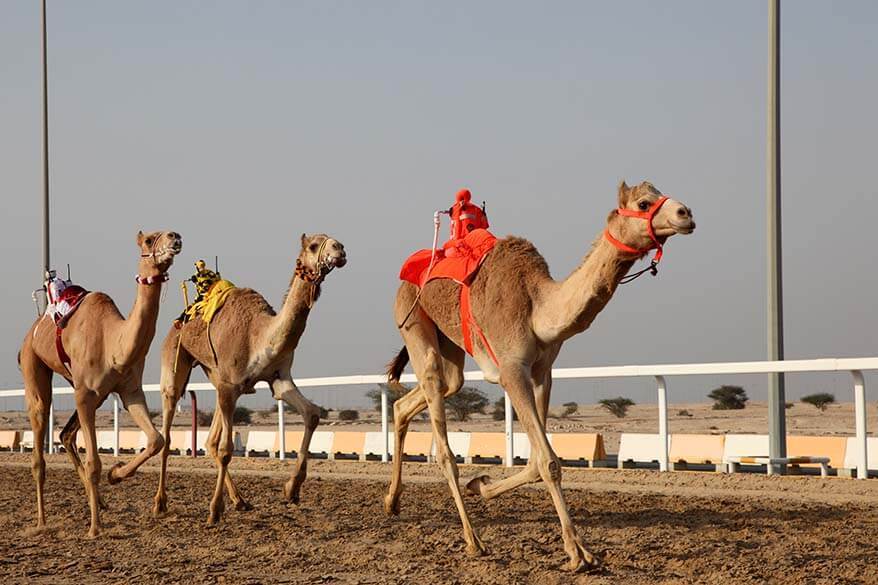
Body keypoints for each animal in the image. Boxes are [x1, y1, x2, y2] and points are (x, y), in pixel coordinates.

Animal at [18, 227, 182, 532]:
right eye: (148, 240)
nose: (175, 237)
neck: (113, 343)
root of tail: (33, 329)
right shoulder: (85, 394)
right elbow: (94, 462)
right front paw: (94, 529)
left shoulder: (130, 390)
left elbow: (156, 440)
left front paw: (116, 475)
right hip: (34, 366)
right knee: (40, 440)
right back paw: (42, 520)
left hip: (91, 390)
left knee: (66, 434)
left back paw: (101, 503)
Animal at [151, 230, 348, 524]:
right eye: (314, 246)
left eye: (334, 241)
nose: (340, 249)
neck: (260, 334)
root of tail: (180, 320)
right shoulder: (230, 384)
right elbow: (226, 450)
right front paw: (214, 511)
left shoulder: (278, 378)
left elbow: (312, 413)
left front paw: (292, 489)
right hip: (176, 359)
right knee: (170, 426)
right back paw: (160, 503)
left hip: (216, 377)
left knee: (210, 441)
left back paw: (240, 501)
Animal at [388, 181, 696, 572]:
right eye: (643, 203)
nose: (686, 214)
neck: (538, 307)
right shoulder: (510, 371)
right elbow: (548, 461)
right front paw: (578, 554)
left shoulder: (541, 373)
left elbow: (537, 460)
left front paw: (481, 485)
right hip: (412, 319)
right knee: (441, 435)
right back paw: (473, 541)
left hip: (451, 347)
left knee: (423, 395)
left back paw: (392, 501)